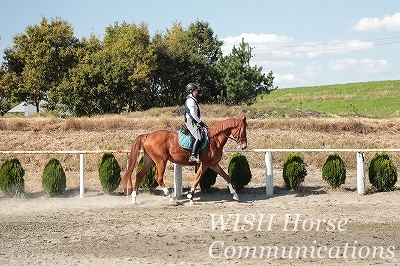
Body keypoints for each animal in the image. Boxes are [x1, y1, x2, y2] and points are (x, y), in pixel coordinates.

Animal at [120, 116, 248, 204]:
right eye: (243, 130)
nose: (244, 146)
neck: (215, 140)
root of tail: (149, 135)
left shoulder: (214, 164)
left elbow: (227, 177)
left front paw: (235, 195)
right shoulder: (204, 164)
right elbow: (197, 179)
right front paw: (190, 196)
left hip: (149, 160)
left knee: (139, 175)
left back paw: (134, 199)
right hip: (161, 161)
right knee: (158, 178)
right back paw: (170, 197)